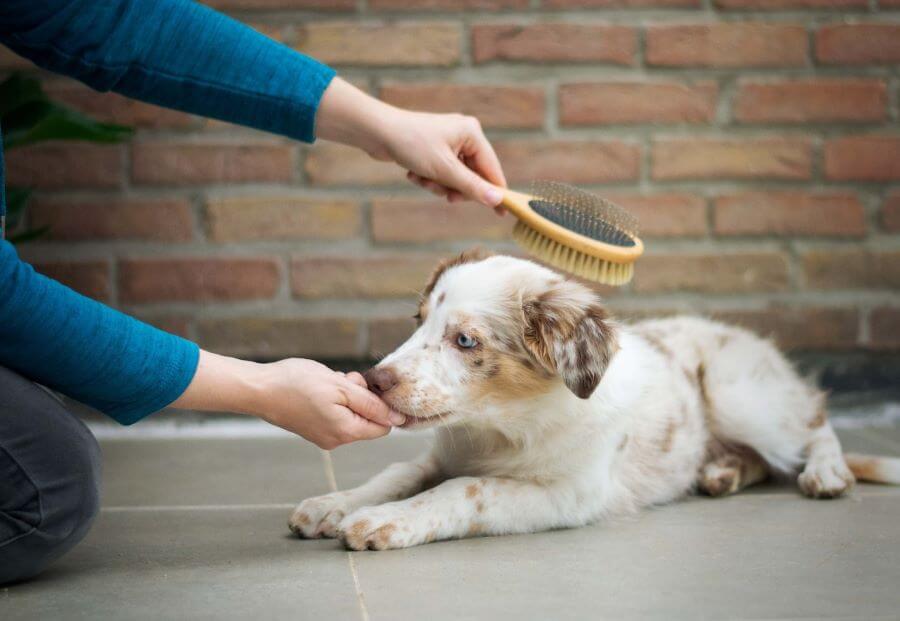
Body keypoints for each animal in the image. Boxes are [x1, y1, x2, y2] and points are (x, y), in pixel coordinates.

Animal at [290, 249, 900, 548]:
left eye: (465, 341)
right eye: (419, 321)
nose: (374, 379)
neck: (502, 429)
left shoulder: (571, 492)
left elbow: (467, 490)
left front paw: (383, 522)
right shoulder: (442, 453)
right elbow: (398, 472)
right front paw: (333, 505)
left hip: (742, 396)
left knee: (815, 423)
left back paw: (826, 473)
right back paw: (720, 473)